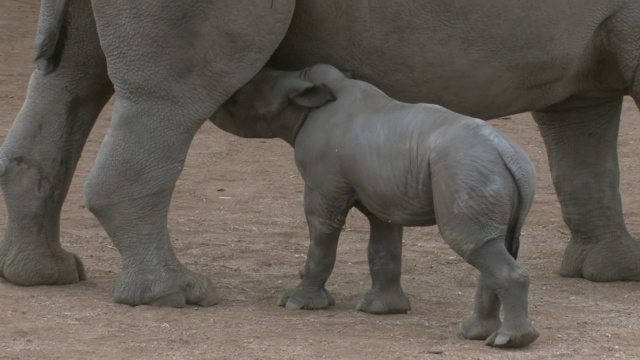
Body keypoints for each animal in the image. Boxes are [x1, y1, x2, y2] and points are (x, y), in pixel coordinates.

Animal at [0, 0, 636, 310]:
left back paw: (45, 276)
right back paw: (179, 295)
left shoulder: (581, 75)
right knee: (170, 95)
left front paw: (610, 273)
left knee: (70, 81)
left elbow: (583, 155)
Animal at [211, 64, 540, 348]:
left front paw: (296, 303)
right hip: (491, 171)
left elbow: (322, 231)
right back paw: (475, 334)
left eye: (238, 99)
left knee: (472, 242)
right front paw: (382, 310)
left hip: (464, 169)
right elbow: (383, 246)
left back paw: (507, 341)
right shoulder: (384, 192)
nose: (219, 101)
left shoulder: (324, 184)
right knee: (494, 243)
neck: (303, 102)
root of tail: (508, 154)